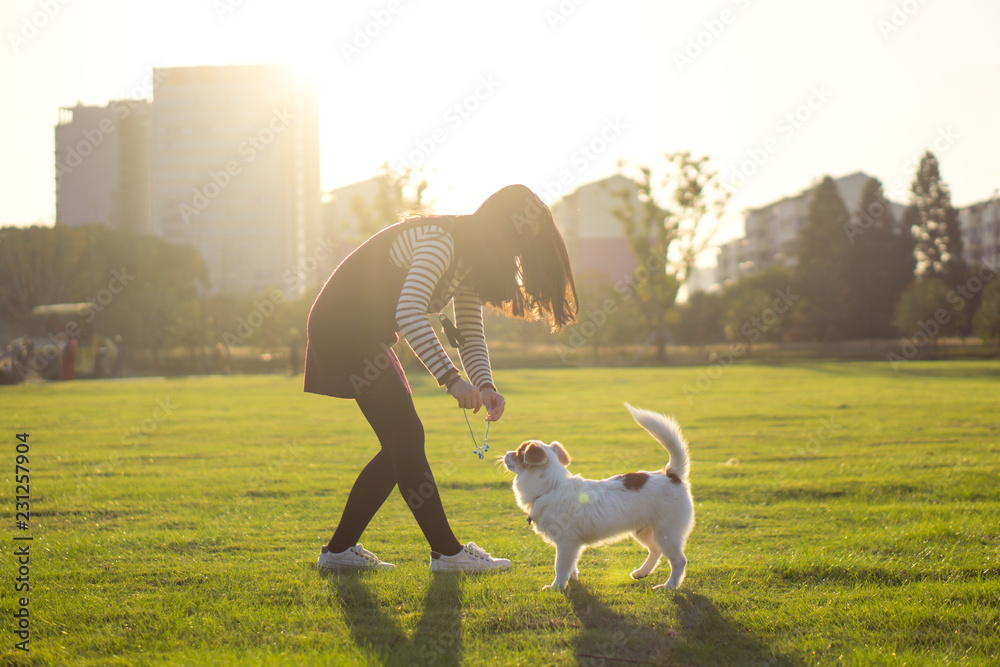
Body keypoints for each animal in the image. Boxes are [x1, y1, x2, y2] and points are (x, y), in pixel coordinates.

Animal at [504, 404, 692, 592]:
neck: (551, 488)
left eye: (519, 453)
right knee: (655, 550)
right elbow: (571, 565)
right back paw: (641, 572)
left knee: (678, 561)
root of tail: (671, 474)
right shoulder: (572, 545)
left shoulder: (566, 542)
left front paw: (556, 587)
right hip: (644, 530)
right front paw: (572, 579)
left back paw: (669, 586)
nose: (505, 453)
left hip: (666, 533)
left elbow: (560, 566)